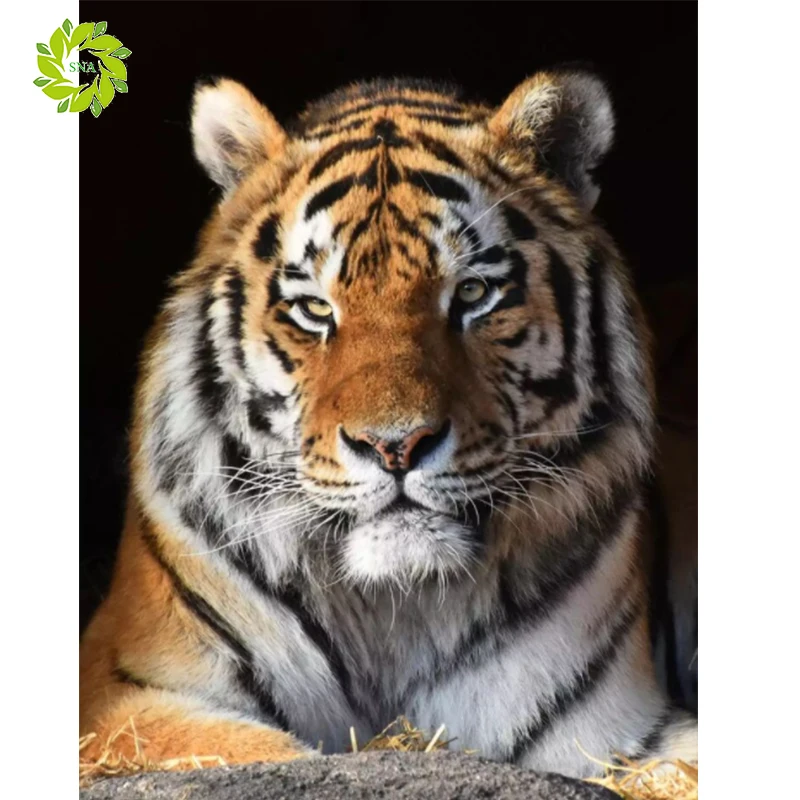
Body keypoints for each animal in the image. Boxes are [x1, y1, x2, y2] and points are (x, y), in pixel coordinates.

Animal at [79, 71, 698, 779]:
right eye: (315, 308)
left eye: (472, 294)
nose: (395, 445)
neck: (391, 609)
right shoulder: (122, 695)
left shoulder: (620, 734)